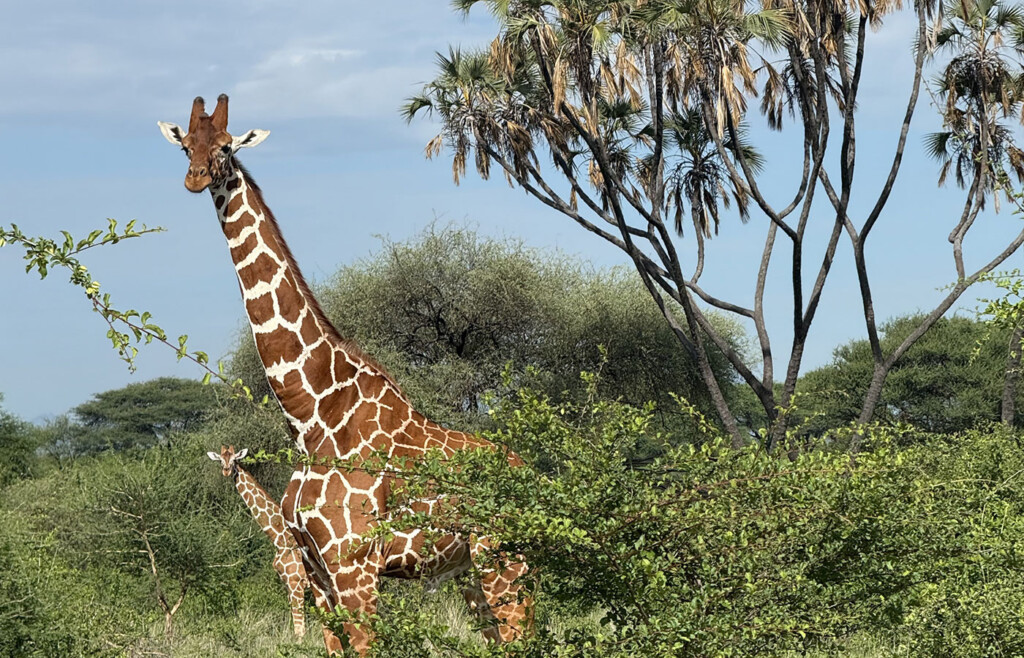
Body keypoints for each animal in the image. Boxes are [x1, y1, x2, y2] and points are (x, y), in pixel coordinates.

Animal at [204, 446, 307, 634]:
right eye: (220, 460)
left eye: (234, 459)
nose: (226, 470)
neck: (280, 538)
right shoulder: (289, 585)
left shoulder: (295, 583)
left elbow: (300, 630)